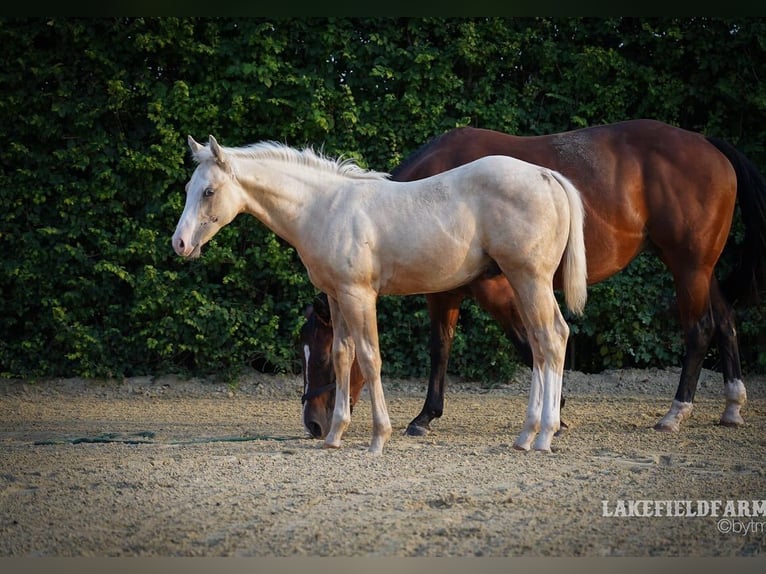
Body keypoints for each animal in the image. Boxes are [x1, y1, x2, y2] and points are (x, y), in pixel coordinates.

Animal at [173, 135, 588, 454]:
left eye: (208, 191)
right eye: (188, 189)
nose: (179, 243)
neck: (325, 208)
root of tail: (546, 175)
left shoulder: (359, 296)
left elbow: (370, 359)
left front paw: (377, 438)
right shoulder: (337, 297)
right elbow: (345, 357)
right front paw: (336, 436)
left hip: (529, 279)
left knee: (551, 339)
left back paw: (542, 436)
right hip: (523, 284)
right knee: (542, 343)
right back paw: (527, 435)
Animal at [300, 119, 766, 439]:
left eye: (321, 356)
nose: (313, 424)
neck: (427, 194)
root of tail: (708, 144)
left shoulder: (494, 290)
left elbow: (525, 345)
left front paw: (556, 411)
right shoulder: (449, 291)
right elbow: (444, 347)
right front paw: (428, 415)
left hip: (688, 266)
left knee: (699, 329)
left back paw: (676, 411)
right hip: (700, 268)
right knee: (726, 322)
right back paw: (732, 405)